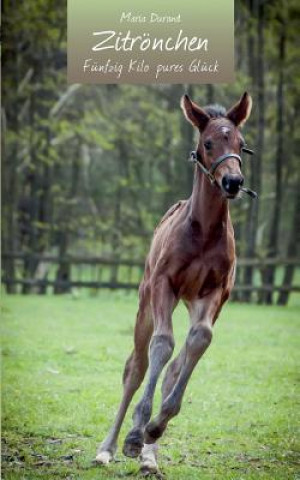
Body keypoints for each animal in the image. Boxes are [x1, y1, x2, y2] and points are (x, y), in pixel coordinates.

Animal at [96, 91, 253, 472]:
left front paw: (153, 428)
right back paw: (108, 447)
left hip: (192, 300)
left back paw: (150, 456)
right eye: (208, 142)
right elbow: (162, 345)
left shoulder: (215, 294)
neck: (204, 231)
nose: (233, 183)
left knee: (175, 365)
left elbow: (198, 341)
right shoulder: (164, 286)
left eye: (241, 143)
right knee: (136, 367)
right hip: (145, 303)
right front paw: (134, 434)